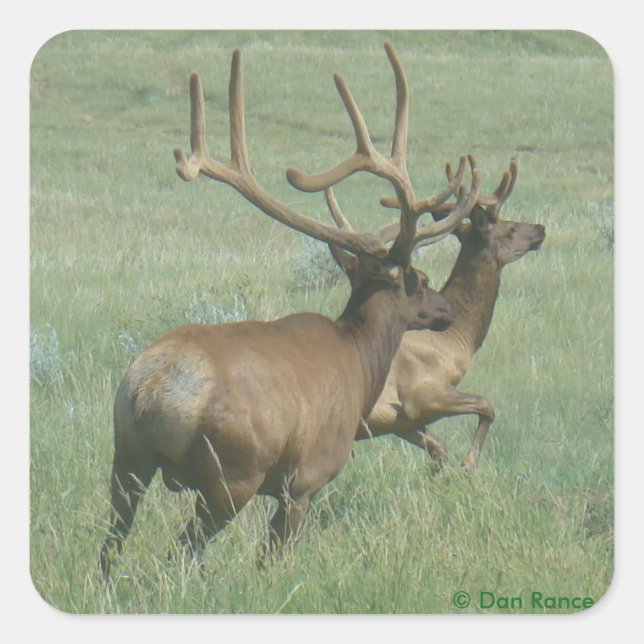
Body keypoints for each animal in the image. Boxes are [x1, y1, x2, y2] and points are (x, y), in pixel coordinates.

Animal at [99, 43, 481, 579]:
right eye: (420, 280)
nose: (447, 309)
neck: (360, 360)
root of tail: (150, 392)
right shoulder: (306, 477)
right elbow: (273, 558)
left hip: (125, 458)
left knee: (109, 550)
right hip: (231, 474)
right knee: (176, 554)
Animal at [331, 157, 545, 469]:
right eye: (510, 229)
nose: (540, 229)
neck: (459, 339)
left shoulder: (400, 421)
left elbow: (438, 448)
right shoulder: (422, 395)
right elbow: (487, 406)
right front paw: (468, 464)